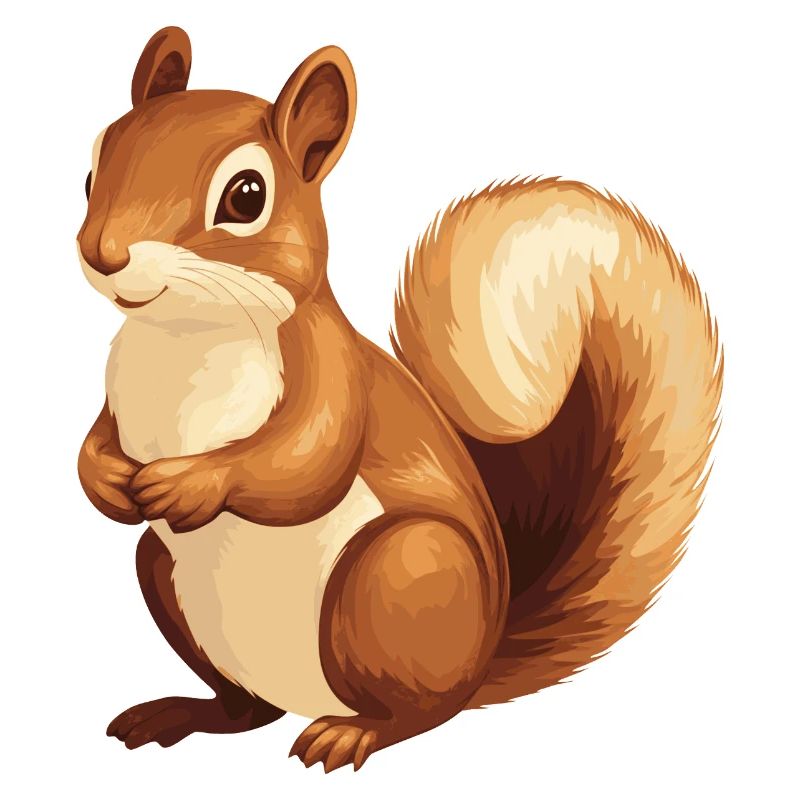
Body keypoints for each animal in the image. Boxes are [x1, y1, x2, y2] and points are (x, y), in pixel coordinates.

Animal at [77, 27, 722, 772]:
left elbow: (306, 461)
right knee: (247, 711)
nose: (103, 253)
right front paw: (106, 480)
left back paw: (352, 733)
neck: (182, 340)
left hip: (399, 575)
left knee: (418, 714)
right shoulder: (114, 396)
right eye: (92, 168)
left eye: (246, 195)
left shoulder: (332, 373)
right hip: (165, 576)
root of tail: (481, 664)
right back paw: (185, 712)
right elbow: (95, 442)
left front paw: (191, 483)